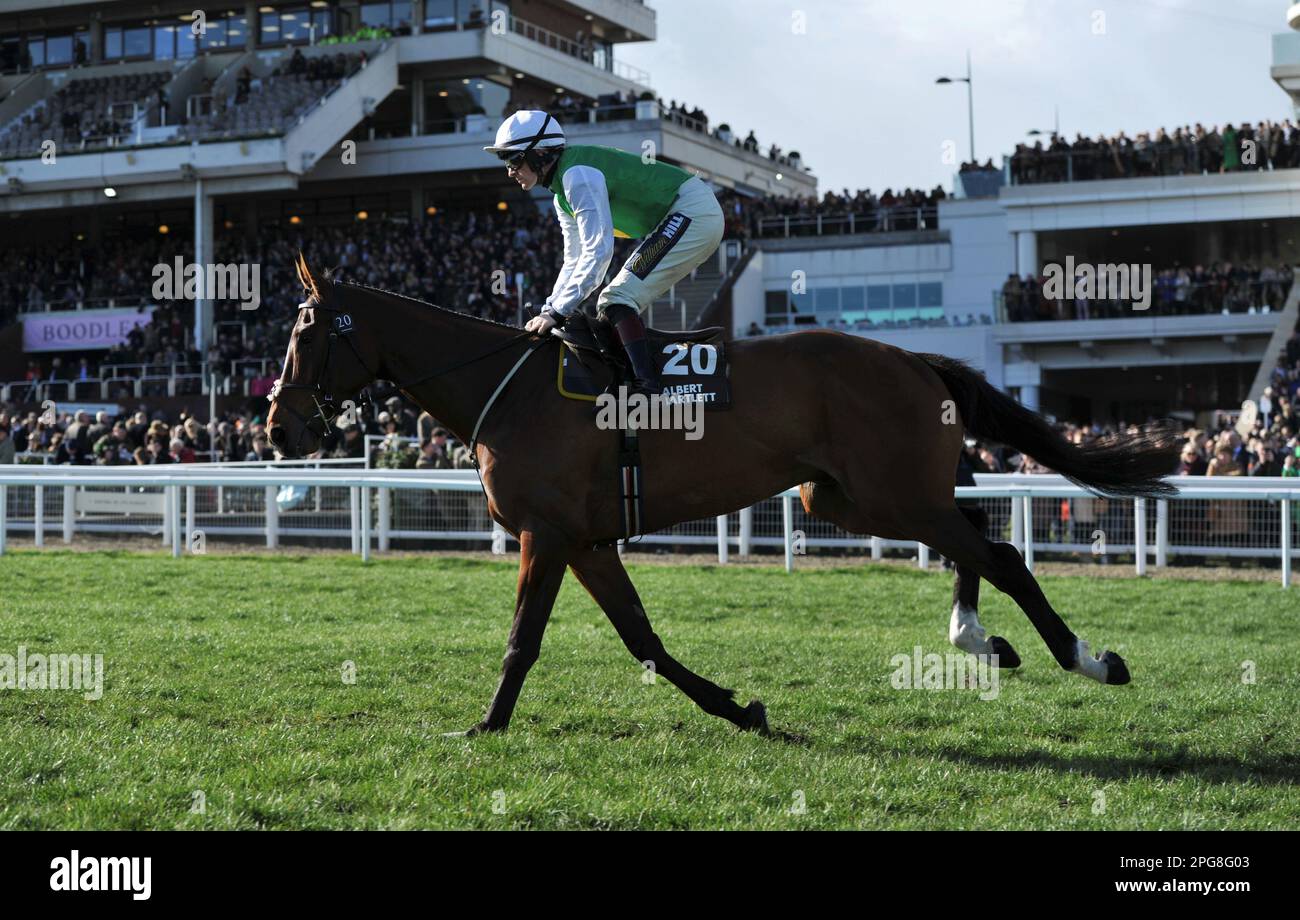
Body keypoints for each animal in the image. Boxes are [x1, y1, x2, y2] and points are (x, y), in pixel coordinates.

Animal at [261, 254, 1180, 738]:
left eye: (304, 330)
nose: (277, 427)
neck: (507, 388)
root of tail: (915, 359)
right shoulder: (586, 540)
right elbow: (643, 639)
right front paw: (740, 708)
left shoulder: (545, 534)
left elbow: (524, 639)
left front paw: (484, 725)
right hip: (844, 498)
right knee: (976, 541)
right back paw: (978, 638)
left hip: (891, 493)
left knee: (1002, 552)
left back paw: (1087, 658)